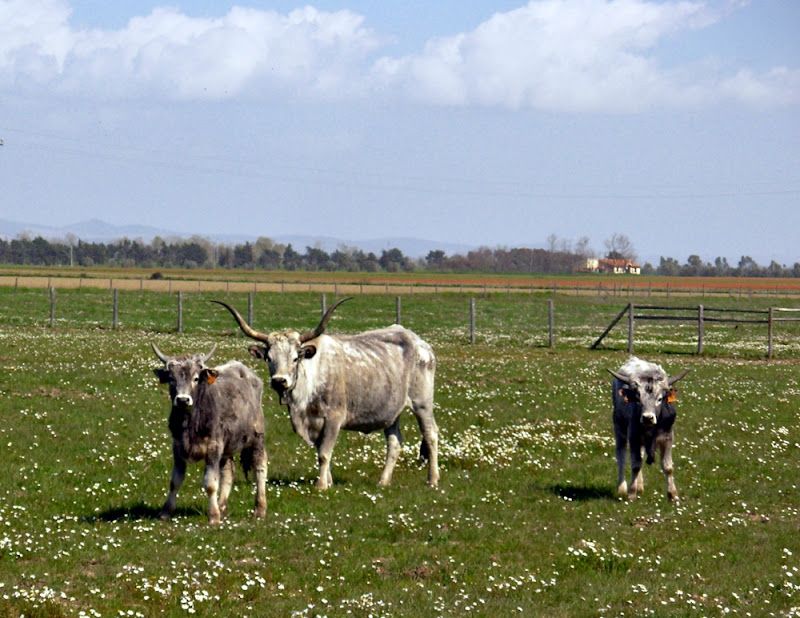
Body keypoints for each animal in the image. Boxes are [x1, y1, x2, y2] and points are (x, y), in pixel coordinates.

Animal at [214, 296, 438, 488]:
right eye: (269, 358)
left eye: (295, 358)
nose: (279, 381)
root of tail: (418, 342)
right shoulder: (313, 423)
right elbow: (320, 451)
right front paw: (328, 481)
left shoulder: (333, 418)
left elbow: (324, 454)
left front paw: (321, 486)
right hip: (392, 411)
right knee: (394, 443)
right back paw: (383, 481)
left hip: (422, 402)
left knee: (431, 435)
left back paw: (432, 479)